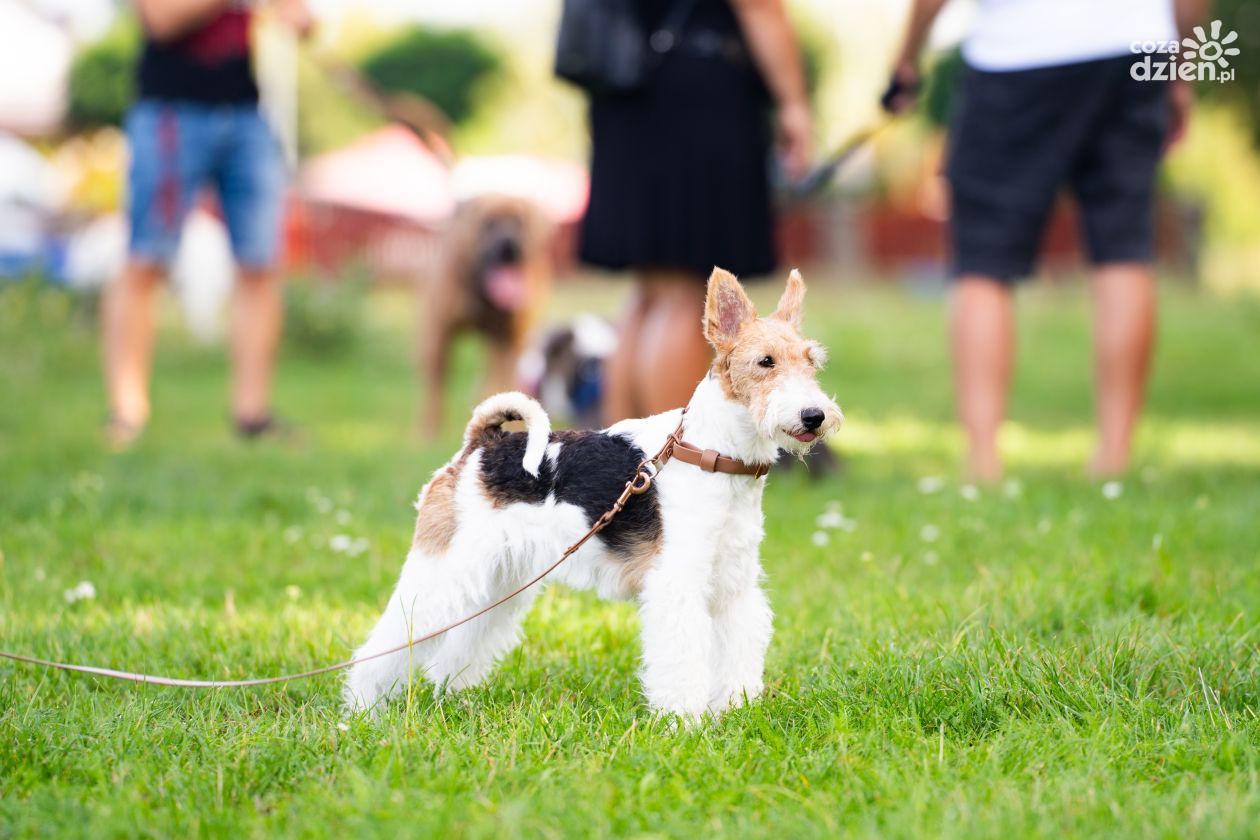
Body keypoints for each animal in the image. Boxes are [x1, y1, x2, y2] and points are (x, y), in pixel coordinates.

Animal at [345, 265, 841, 720]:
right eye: (765, 362)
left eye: (812, 361)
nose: (814, 415)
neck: (712, 451)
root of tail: (479, 444)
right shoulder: (678, 582)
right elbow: (683, 657)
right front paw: (686, 721)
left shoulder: (734, 584)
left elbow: (737, 649)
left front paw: (736, 709)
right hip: (443, 572)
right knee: (383, 648)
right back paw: (362, 713)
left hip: (501, 579)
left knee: (461, 644)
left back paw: (454, 696)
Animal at [420, 195, 549, 438]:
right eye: (488, 223)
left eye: (519, 222)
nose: (510, 243)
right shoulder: (437, 333)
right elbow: (434, 389)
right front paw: (427, 434)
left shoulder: (510, 339)